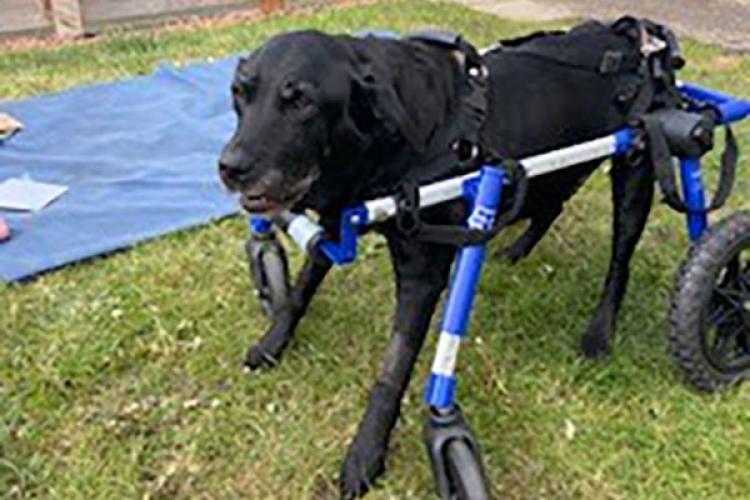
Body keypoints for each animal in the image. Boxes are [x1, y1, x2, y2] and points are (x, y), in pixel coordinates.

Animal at [219, 18, 688, 496]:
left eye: (302, 101)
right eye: (240, 92)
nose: (229, 167)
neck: (396, 145)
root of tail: (631, 36)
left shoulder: (422, 273)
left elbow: (393, 368)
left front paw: (366, 454)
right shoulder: (336, 222)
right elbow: (299, 292)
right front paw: (272, 343)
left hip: (636, 165)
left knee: (620, 259)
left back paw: (600, 330)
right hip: (552, 168)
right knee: (550, 205)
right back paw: (515, 249)